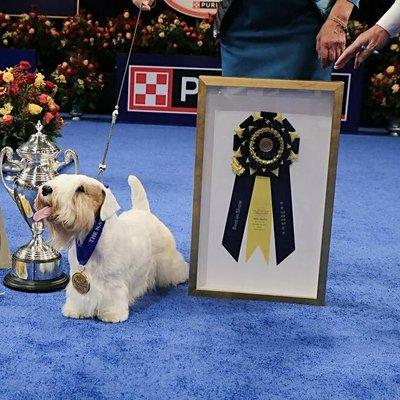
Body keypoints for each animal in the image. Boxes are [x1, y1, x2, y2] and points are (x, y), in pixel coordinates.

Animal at [33, 173, 188, 324]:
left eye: (80, 189)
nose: (45, 189)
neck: (90, 239)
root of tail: (143, 211)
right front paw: (75, 310)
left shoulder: (113, 281)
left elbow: (113, 297)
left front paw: (112, 314)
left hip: (166, 258)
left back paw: (181, 276)